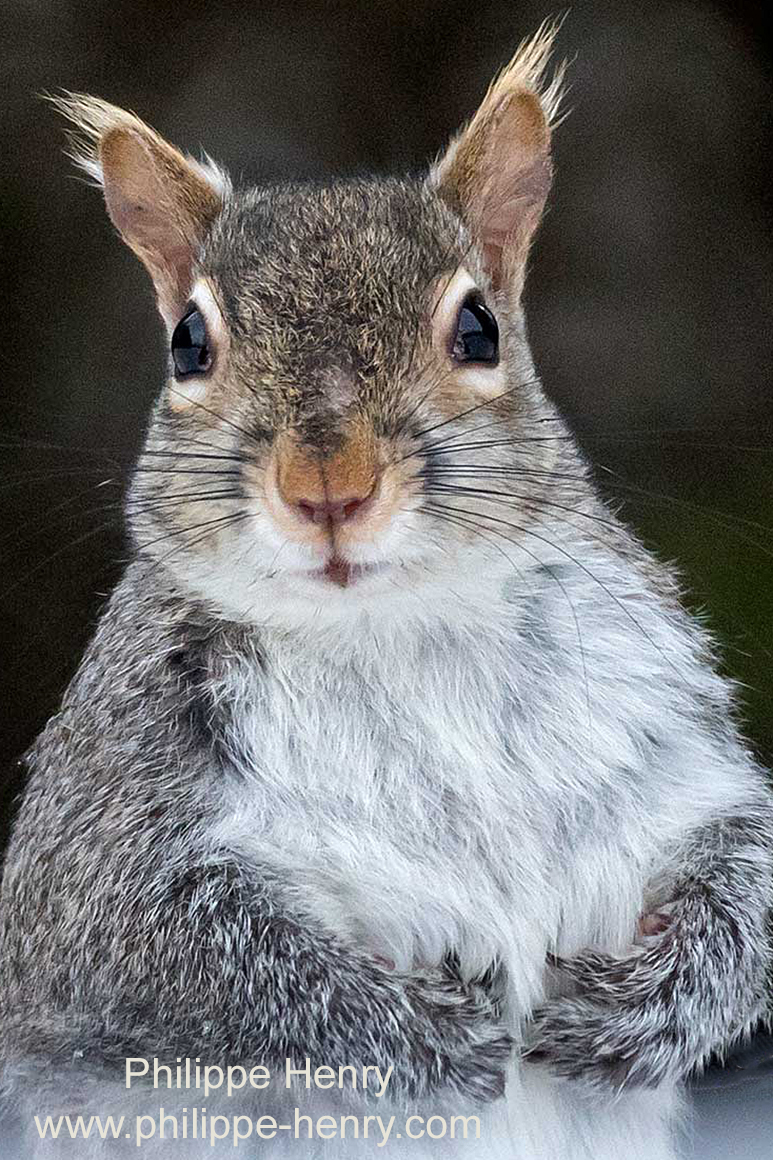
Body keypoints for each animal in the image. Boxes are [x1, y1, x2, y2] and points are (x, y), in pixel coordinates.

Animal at [1, 21, 771, 1160]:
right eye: (188, 343)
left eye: (478, 328)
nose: (330, 486)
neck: (393, 626)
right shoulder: (97, 832)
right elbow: (163, 948)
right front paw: (412, 1029)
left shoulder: (665, 743)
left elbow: (745, 874)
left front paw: (645, 1005)